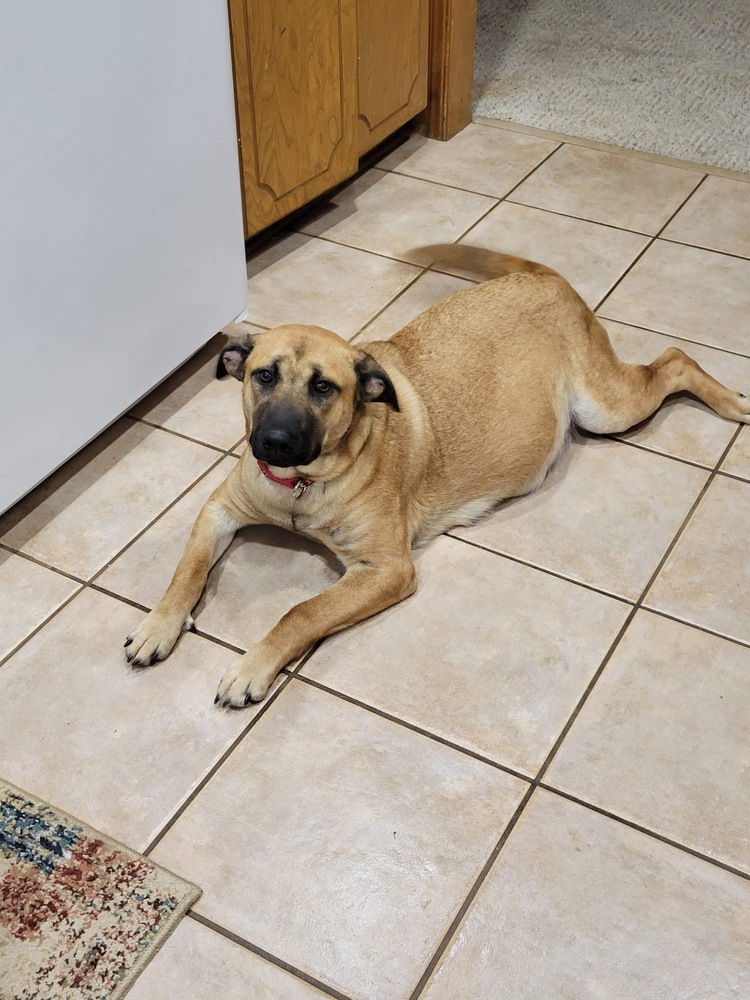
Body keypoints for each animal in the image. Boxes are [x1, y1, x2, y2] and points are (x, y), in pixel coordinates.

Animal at [125, 248, 750, 704]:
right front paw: (159, 625)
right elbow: (187, 570)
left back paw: (733, 404)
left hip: (606, 405)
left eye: (323, 387)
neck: (303, 485)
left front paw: (253, 665)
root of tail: (544, 278)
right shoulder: (220, 508)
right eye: (263, 375)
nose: (274, 443)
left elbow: (301, 611)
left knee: (675, 360)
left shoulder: (386, 569)